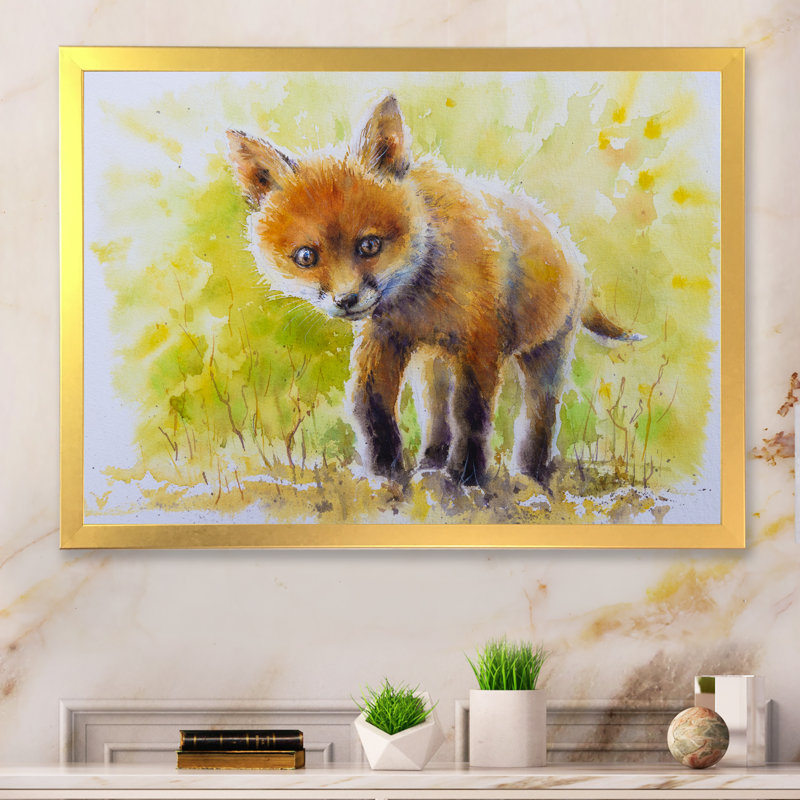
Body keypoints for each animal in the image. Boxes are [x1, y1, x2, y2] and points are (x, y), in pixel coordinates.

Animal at [227, 94, 638, 488]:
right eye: (306, 256)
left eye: (369, 246)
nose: (346, 300)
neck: (419, 300)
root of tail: (568, 244)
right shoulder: (384, 339)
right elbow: (370, 406)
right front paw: (384, 473)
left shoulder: (481, 345)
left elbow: (471, 416)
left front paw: (468, 477)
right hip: (432, 364)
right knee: (436, 414)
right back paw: (431, 463)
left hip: (545, 354)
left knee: (539, 416)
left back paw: (530, 474)